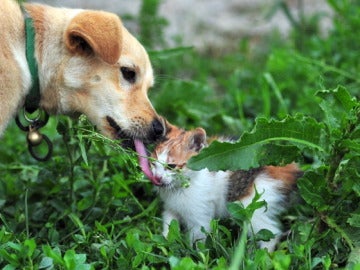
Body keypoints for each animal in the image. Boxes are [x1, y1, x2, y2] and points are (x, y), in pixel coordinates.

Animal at [150, 122, 302, 251]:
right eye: (152, 163)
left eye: (171, 166)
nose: (157, 178)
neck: (180, 188)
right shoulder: (171, 207)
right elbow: (169, 223)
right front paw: (166, 244)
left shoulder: (200, 215)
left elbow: (198, 239)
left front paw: (196, 257)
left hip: (252, 207)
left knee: (271, 232)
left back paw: (262, 255)